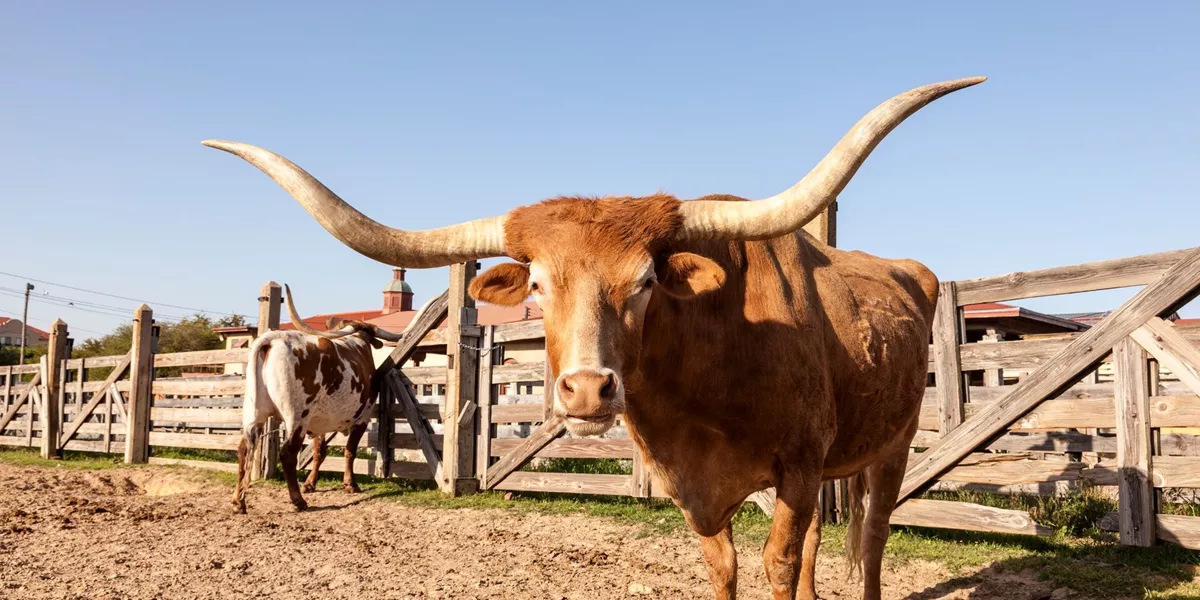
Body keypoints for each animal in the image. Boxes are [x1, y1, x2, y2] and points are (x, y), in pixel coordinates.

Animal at [235, 285, 405, 514]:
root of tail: (274, 338)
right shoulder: (362, 419)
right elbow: (349, 451)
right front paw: (350, 484)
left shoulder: (318, 423)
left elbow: (318, 452)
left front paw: (310, 483)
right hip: (297, 417)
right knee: (287, 454)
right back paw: (298, 501)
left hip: (255, 413)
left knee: (244, 449)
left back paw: (238, 502)